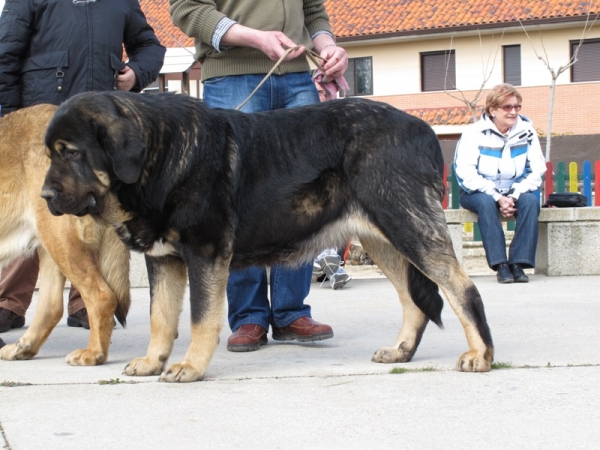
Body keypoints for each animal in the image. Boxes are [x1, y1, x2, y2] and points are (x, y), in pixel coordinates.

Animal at [0, 105, 131, 366]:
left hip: (60, 241)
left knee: (101, 297)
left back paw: (93, 353)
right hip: (50, 245)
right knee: (51, 306)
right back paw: (23, 347)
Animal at [41, 91, 492, 384]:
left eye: (72, 152)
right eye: (49, 155)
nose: (44, 196)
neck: (163, 154)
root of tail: (424, 131)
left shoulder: (205, 252)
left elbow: (201, 318)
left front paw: (190, 366)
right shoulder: (164, 259)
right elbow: (160, 318)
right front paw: (153, 361)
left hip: (407, 226)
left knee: (462, 288)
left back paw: (481, 355)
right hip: (385, 239)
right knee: (413, 300)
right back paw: (401, 351)